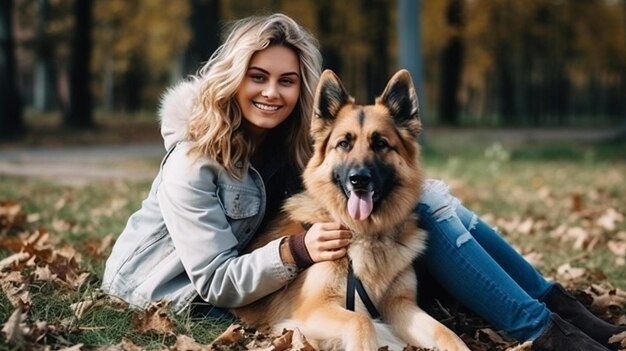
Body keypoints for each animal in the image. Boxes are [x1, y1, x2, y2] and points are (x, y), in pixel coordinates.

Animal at [234, 69, 468, 351]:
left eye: (380, 144)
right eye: (344, 144)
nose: (359, 179)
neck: (364, 234)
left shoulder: (400, 305)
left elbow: (445, 332)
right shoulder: (313, 309)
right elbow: (361, 321)